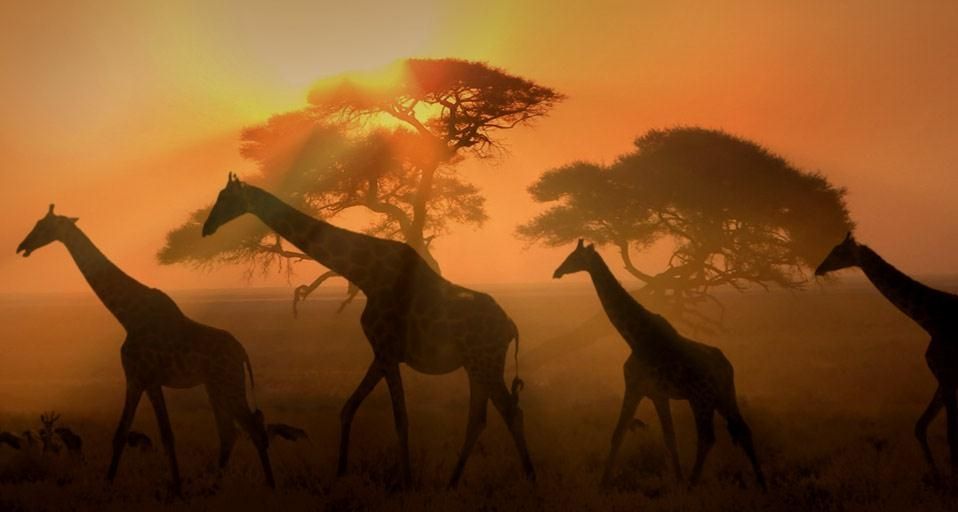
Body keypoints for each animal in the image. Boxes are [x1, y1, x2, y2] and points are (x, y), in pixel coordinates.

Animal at [16, 205, 274, 493]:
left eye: (43, 226)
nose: (22, 246)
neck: (127, 316)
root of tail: (242, 351)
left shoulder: (146, 378)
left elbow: (163, 434)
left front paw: (176, 489)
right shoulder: (137, 379)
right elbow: (124, 433)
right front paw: (110, 483)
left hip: (228, 382)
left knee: (253, 427)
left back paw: (270, 486)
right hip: (214, 386)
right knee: (230, 431)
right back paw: (215, 485)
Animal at [200, 173, 534, 487]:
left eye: (225, 198)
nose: (206, 227)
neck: (364, 275)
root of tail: (510, 326)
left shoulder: (387, 352)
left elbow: (401, 419)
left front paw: (407, 483)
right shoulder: (381, 354)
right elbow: (349, 408)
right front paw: (340, 473)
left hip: (485, 363)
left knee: (511, 412)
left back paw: (531, 479)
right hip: (474, 366)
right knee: (478, 419)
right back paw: (452, 483)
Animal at [553, 240, 765, 488]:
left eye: (574, 257)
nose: (557, 272)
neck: (634, 338)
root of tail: (727, 367)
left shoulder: (638, 388)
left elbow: (619, 434)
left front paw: (603, 485)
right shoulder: (654, 394)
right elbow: (667, 438)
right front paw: (677, 481)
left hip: (701, 398)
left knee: (707, 437)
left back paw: (693, 486)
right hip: (724, 395)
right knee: (743, 430)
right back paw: (762, 485)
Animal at [816, 232, 958, 478]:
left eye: (838, 251)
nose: (818, 269)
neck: (929, 320)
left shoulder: (947, 374)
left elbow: (949, 433)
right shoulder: (944, 377)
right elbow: (920, 426)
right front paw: (935, 474)